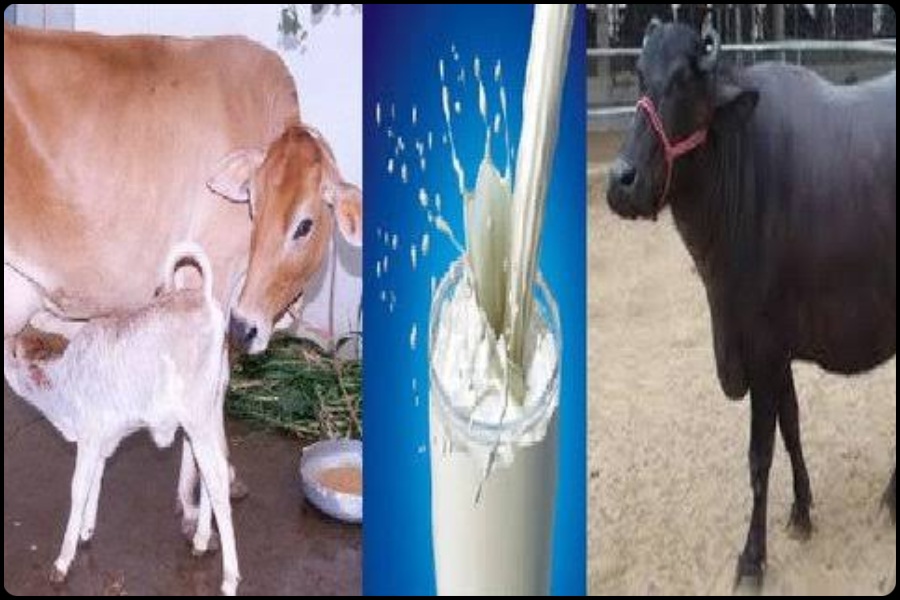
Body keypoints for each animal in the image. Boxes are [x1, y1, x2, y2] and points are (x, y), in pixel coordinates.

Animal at [4, 23, 361, 523]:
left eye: (304, 224)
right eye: (252, 204)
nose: (246, 326)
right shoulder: (213, 290)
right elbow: (213, 386)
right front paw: (206, 491)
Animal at [606, 20, 896, 586]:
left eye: (684, 80)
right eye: (640, 74)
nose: (621, 181)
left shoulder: (761, 348)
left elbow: (760, 456)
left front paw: (752, 557)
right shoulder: (771, 348)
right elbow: (792, 427)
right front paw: (802, 511)